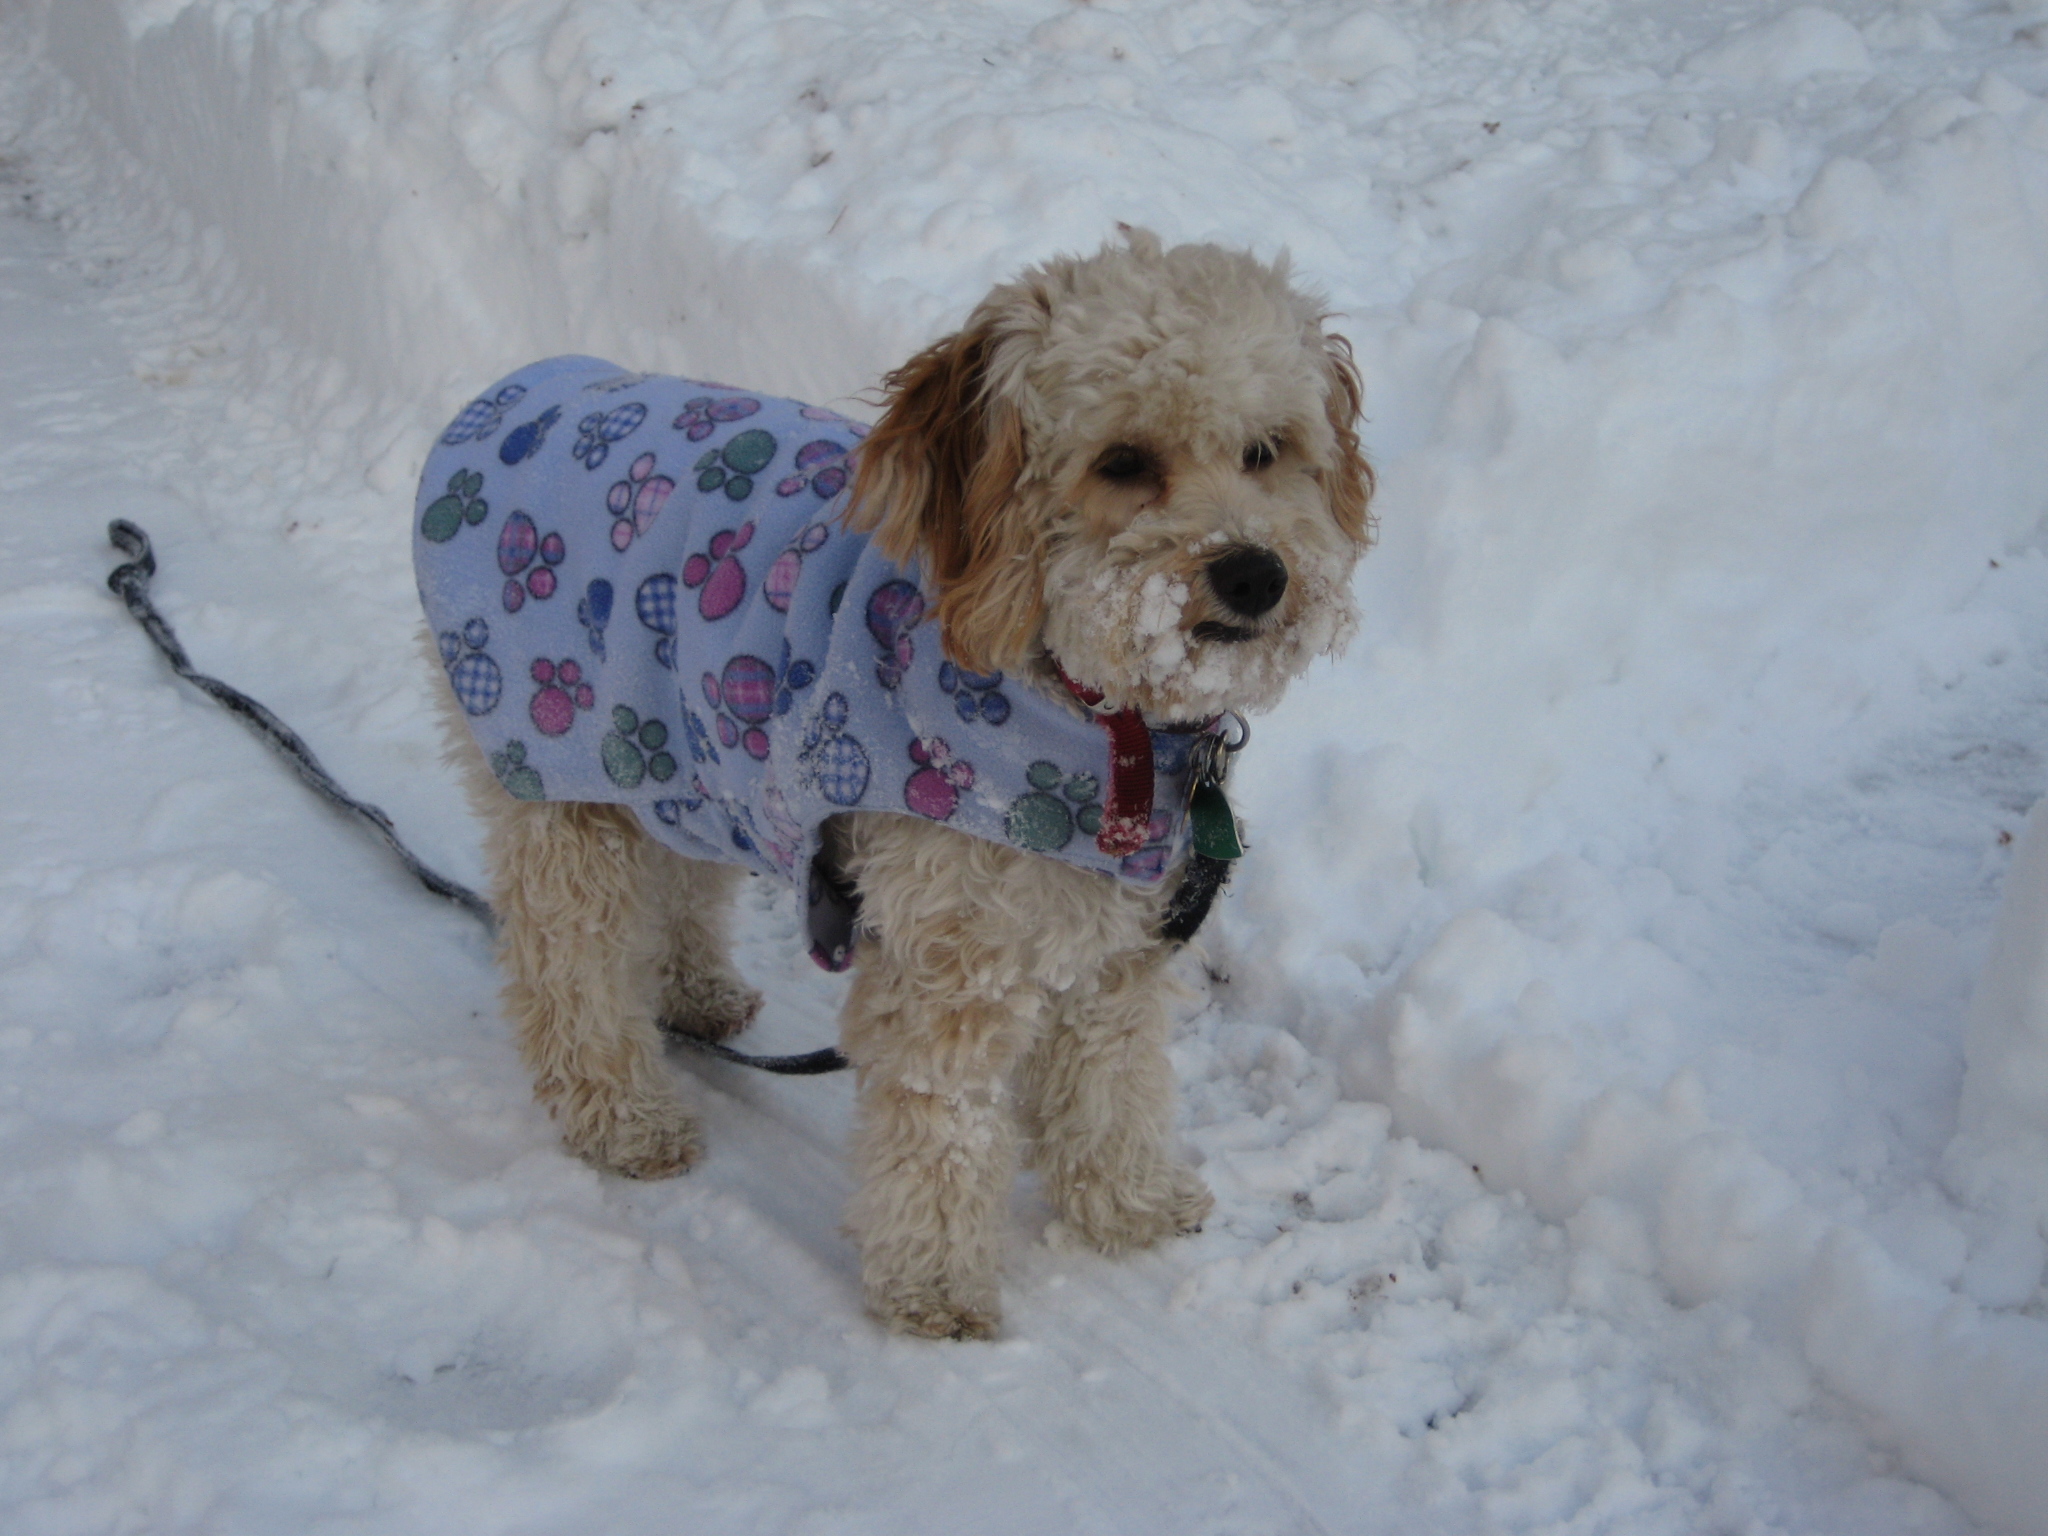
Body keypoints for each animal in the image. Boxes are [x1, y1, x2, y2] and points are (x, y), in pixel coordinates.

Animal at [418, 229, 1373, 1338]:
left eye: (1265, 451)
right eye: (1122, 462)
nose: (1255, 575)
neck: (1092, 712)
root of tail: (520, 389)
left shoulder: (1115, 950)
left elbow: (1113, 1083)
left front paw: (1124, 1204)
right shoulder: (946, 962)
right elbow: (942, 1128)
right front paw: (935, 1284)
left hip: (688, 760)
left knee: (683, 883)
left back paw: (696, 992)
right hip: (563, 779)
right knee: (562, 963)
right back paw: (621, 1117)